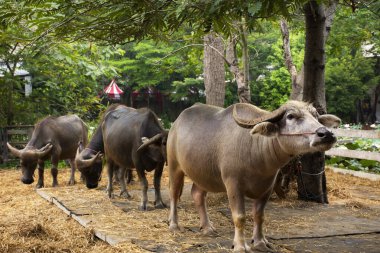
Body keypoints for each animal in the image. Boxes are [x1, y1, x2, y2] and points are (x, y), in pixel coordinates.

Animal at [168, 101, 340, 253]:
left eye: (316, 116)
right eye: (291, 116)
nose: (326, 134)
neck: (257, 151)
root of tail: (176, 123)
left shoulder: (267, 188)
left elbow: (259, 216)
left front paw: (260, 243)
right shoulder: (233, 184)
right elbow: (239, 217)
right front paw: (239, 245)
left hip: (202, 175)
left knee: (197, 195)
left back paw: (207, 227)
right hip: (174, 166)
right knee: (174, 194)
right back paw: (174, 225)